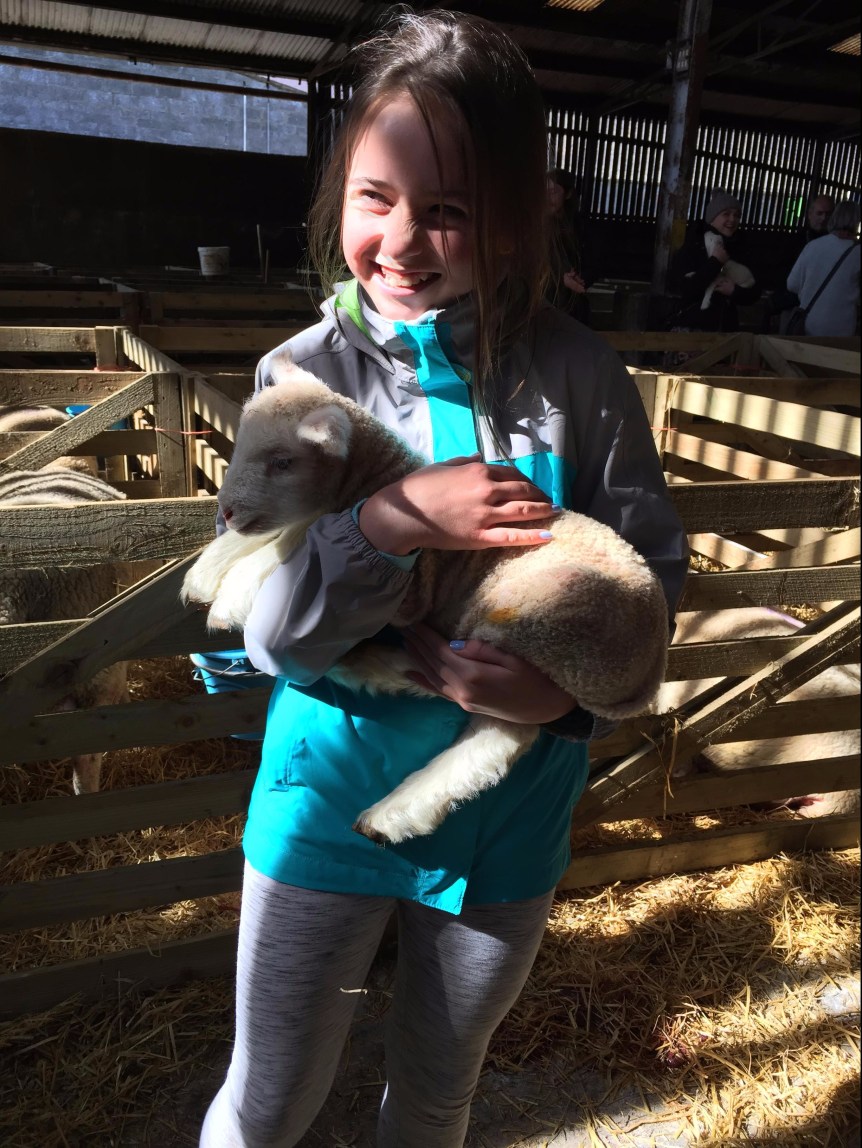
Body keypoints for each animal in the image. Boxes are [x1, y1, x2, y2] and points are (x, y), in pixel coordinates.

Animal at [181, 351, 670, 845]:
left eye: (282, 462)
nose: (227, 512)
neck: (379, 482)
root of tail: (649, 671)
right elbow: (292, 528)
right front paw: (208, 571)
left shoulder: (412, 587)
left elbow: (299, 533)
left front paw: (231, 595)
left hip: (537, 619)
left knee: (490, 723)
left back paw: (390, 796)